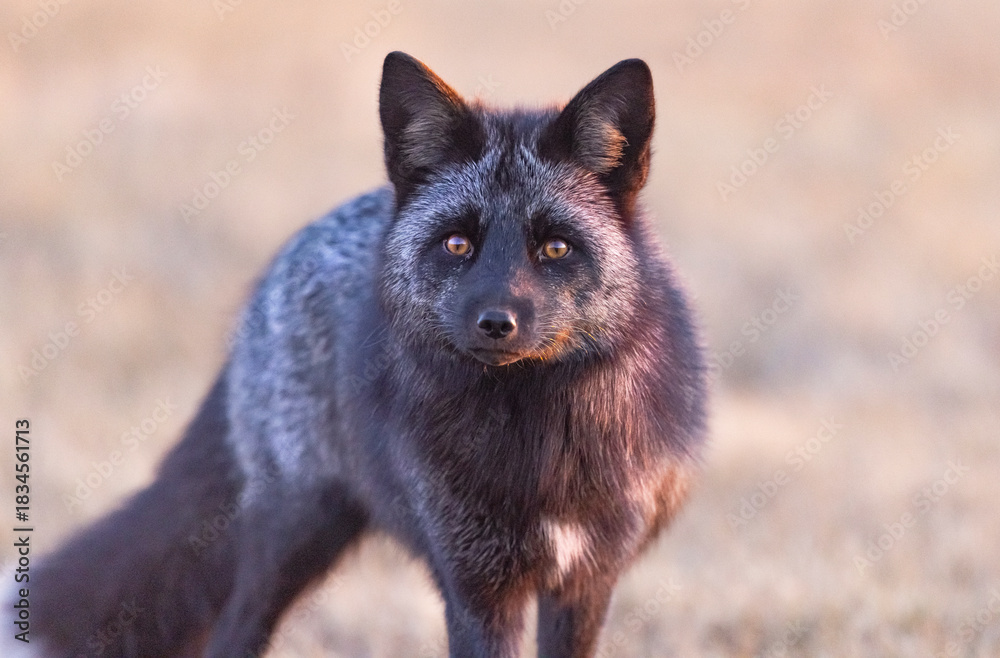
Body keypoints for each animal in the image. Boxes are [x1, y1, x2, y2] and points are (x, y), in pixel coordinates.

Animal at [18, 52, 707, 657]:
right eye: (457, 244)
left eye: (556, 248)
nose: (496, 324)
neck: (539, 444)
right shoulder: (475, 584)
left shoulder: (585, 582)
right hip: (293, 537)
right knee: (232, 633)